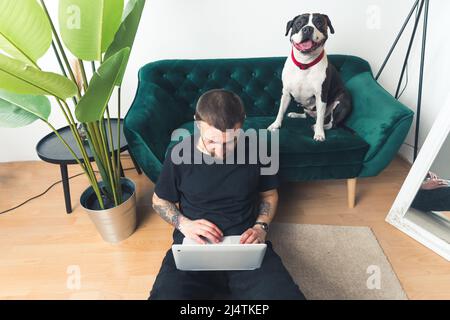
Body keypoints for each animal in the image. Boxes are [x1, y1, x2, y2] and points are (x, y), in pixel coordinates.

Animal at [268, 13, 352, 141]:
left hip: (342, 101)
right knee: (307, 115)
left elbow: (321, 118)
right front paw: (275, 125)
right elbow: (280, 111)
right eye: (299, 23)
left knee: (331, 123)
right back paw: (296, 114)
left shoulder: (321, 96)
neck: (304, 63)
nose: (307, 29)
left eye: (319, 23)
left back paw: (317, 126)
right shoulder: (286, 93)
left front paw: (319, 133)